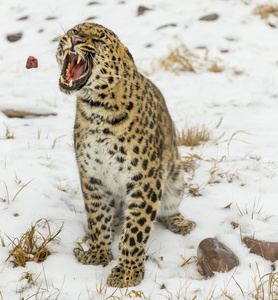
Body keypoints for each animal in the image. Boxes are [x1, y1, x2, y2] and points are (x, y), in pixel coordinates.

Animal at [56, 22, 195, 288]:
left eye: (99, 40)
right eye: (73, 31)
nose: (75, 39)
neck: (96, 110)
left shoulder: (145, 178)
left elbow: (135, 230)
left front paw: (127, 272)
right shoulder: (92, 175)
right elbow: (97, 217)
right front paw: (99, 253)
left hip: (175, 178)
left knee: (168, 209)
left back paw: (182, 222)